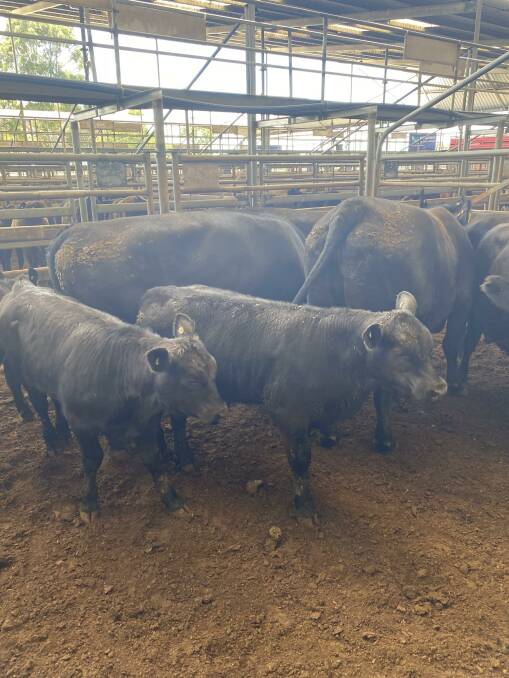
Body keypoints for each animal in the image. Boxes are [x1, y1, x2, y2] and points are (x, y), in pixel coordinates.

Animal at [0, 282, 224, 522]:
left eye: (214, 369)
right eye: (192, 380)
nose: (217, 412)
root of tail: (23, 286)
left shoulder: (147, 422)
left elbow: (153, 458)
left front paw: (172, 500)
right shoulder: (82, 423)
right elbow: (92, 460)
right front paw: (89, 504)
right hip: (24, 373)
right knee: (40, 405)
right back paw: (52, 441)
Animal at [137, 284, 447, 521]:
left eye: (429, 347)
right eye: (403, 355)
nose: (439, 388)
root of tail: (156, 292)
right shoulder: (287, 413)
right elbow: (300, 461)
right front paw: (304, 508)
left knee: (178, 420)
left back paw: (186, 460)